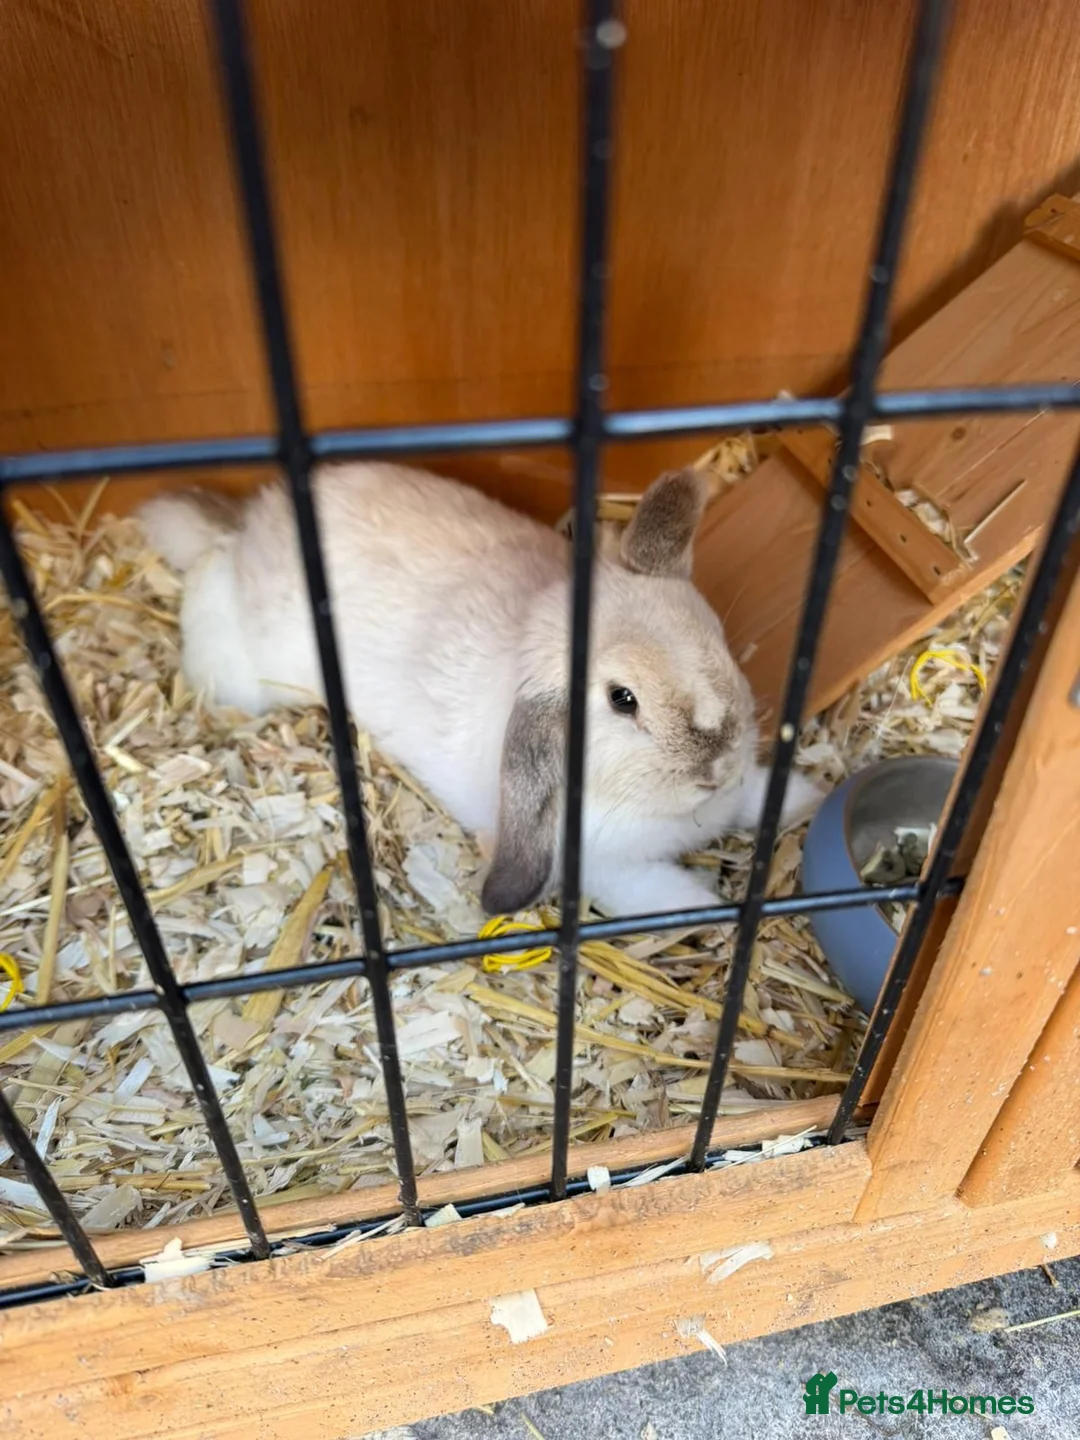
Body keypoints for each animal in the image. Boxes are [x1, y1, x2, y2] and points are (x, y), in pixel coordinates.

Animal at [138, 462, 824, 920]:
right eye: (622, 700)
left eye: (716, 638)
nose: (717, 767)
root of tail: (252, 524)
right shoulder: (605, 868)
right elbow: (656, 893)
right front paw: (708, 905)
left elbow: (760, 797)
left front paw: (807, 799)